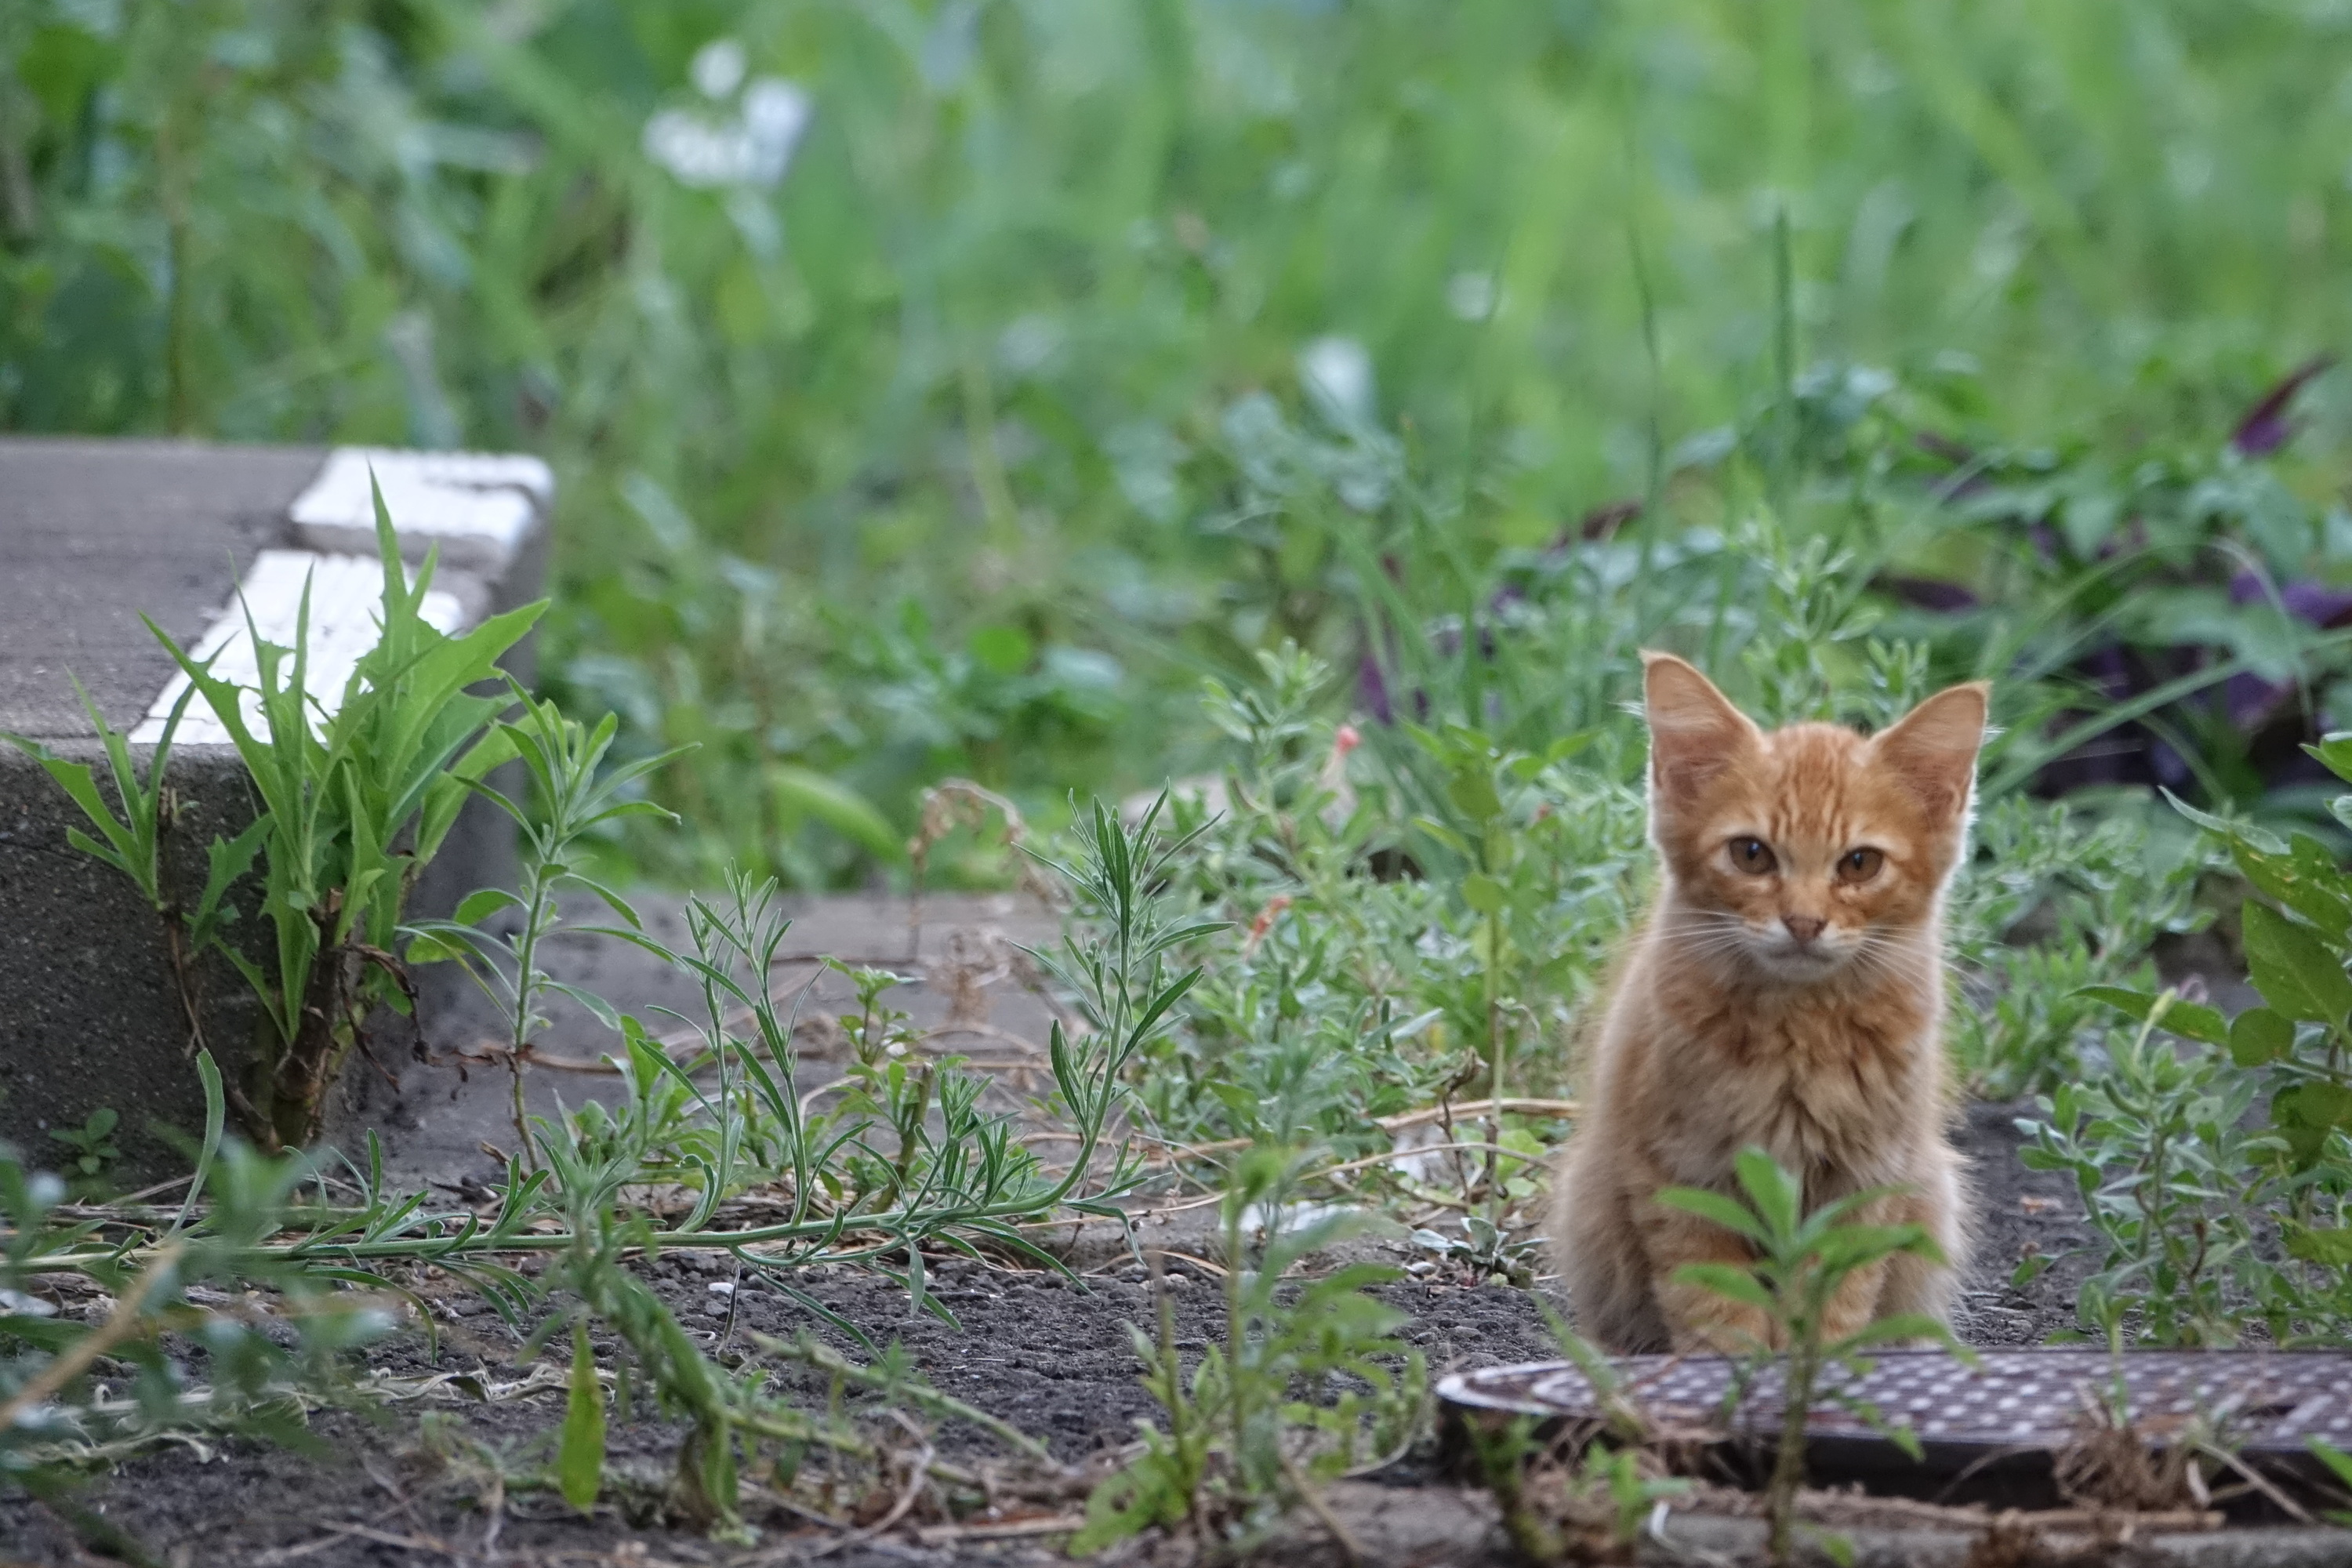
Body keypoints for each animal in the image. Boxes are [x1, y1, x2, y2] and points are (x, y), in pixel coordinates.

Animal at [1552, 658, 1976, 1354]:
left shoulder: (1866, 1180)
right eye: (1752, 854)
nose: (1803, 922)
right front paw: (1737, 1371)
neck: (1796, 1036)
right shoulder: (1680, 1172)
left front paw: (1812, 1368)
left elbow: (1832, 1300)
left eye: (1859, 864)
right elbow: (1718, 1307)